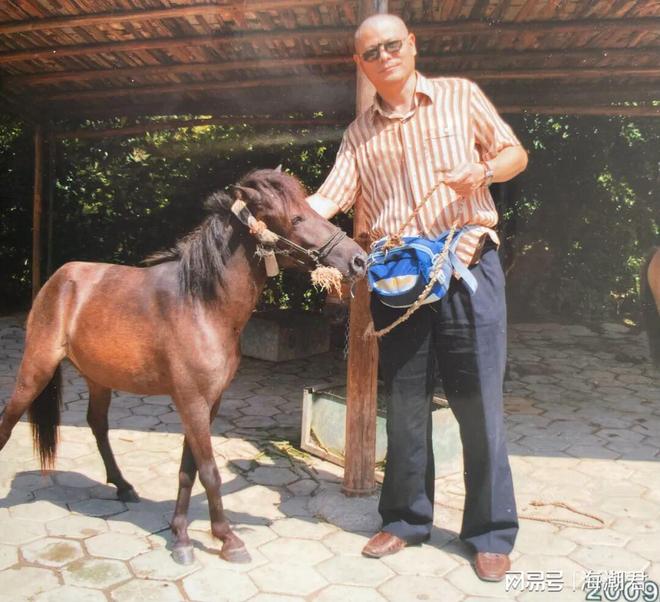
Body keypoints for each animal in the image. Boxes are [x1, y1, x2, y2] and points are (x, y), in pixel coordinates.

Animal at [0, 168, 367, 564]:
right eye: (297, 218)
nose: (359, 260)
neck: (201, 305)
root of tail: (58, 279)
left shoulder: (208, 402)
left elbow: (187, 469)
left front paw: (180, 536)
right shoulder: (190, 401)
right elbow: (208, 471)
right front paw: (227, 540)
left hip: (98, 378)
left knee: (97, 424)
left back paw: (123, 486)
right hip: (35, 370)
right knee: (8, 422)